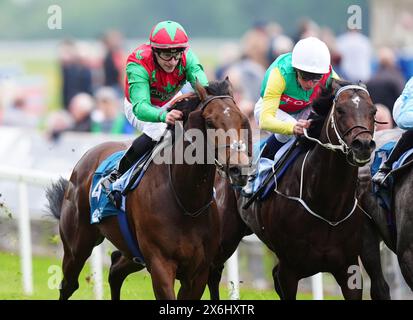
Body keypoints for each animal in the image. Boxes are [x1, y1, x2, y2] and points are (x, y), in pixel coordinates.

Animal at [45, 79, 251, 298]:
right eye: (210, 122)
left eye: (243, 121)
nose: (239, 168)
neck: (187, 201)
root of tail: (86, 158)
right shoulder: (160, 264)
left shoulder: (199, 272)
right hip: (77, 245)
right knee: (69, 284)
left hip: (132, 252)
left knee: (115, 270)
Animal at [209, 80, 376, 300]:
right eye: (340, 110)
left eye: (373, 111)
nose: (363, 145)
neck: (329, 206)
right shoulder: (289, 270)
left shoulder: (348, 268)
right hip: (224, 235)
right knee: (213, 272)